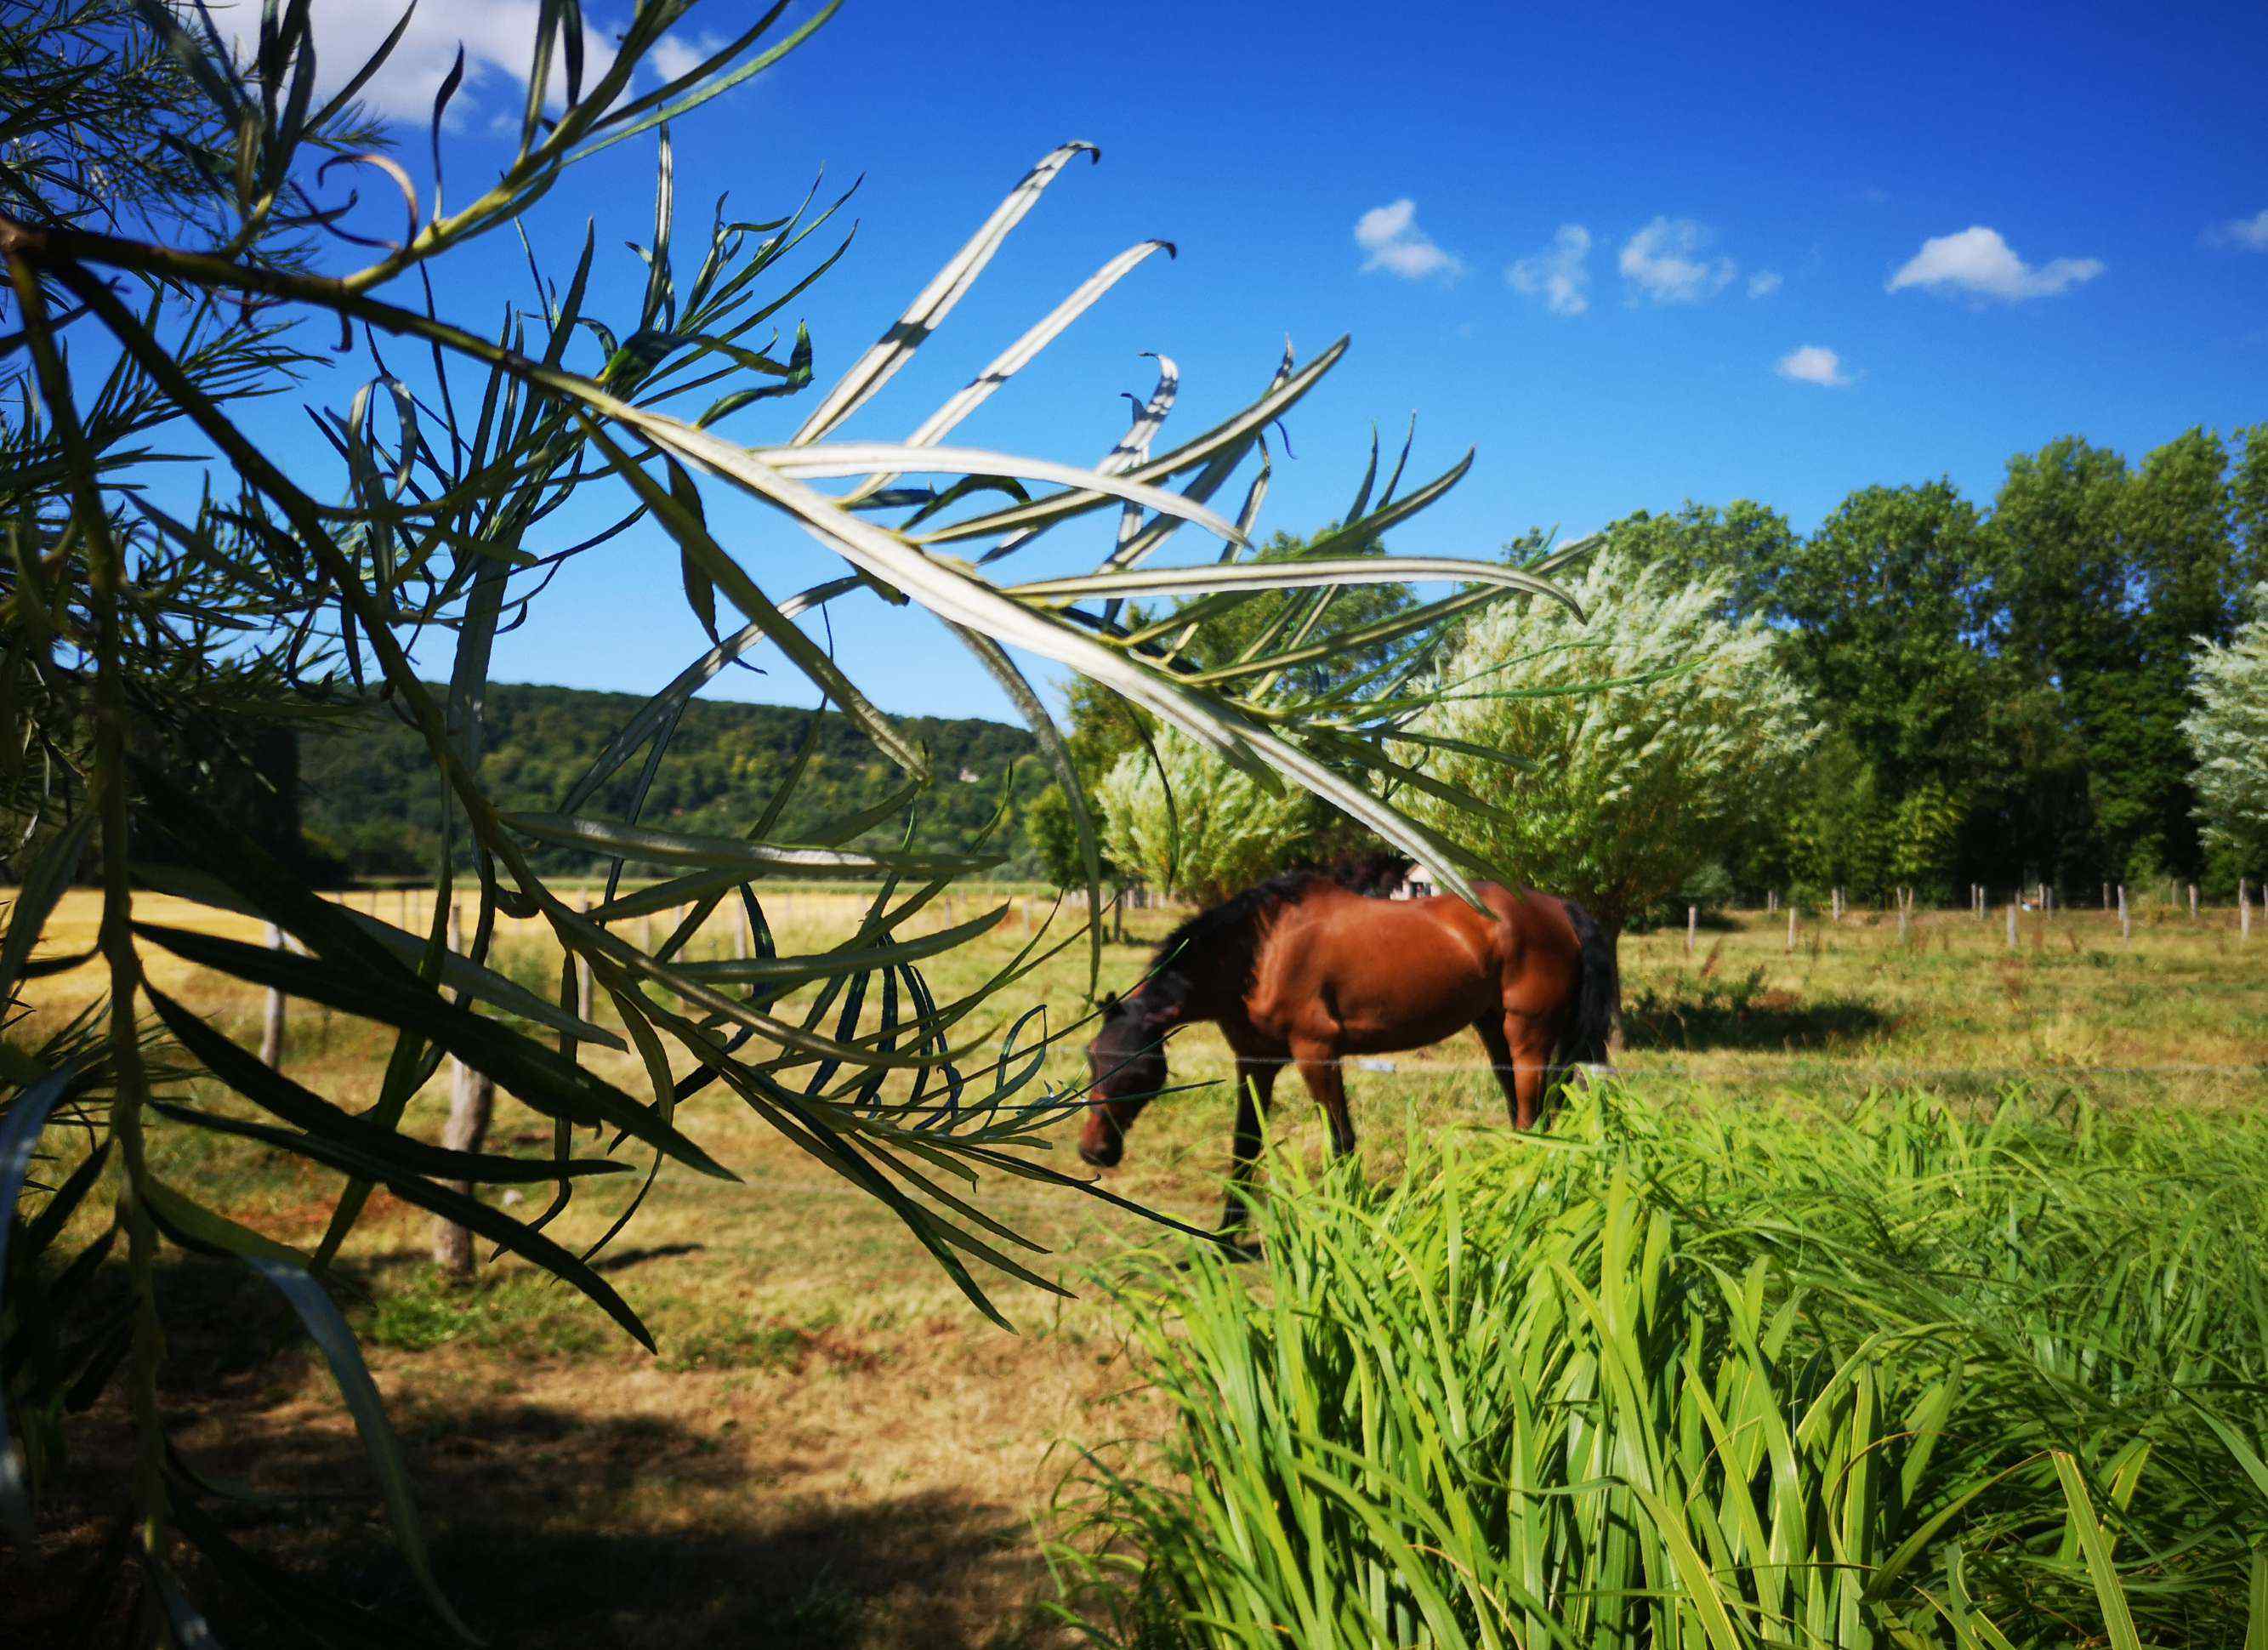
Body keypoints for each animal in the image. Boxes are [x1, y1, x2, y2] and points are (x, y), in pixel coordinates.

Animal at [1075, 871, 1614, 1234]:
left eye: (1141, 1071)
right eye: (1092, 1057)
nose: (1093, 1150)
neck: (1262, 951)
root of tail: (1558, 908)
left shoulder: (1317, 1053)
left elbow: (1342, 1142)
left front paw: (1346, 1221)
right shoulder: (1254, 1062)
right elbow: (1245, 1145)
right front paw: (1226, 1237)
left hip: (1528, 1033)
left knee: (1532, 1113)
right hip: (1493, 1027)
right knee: (1530, 1111)